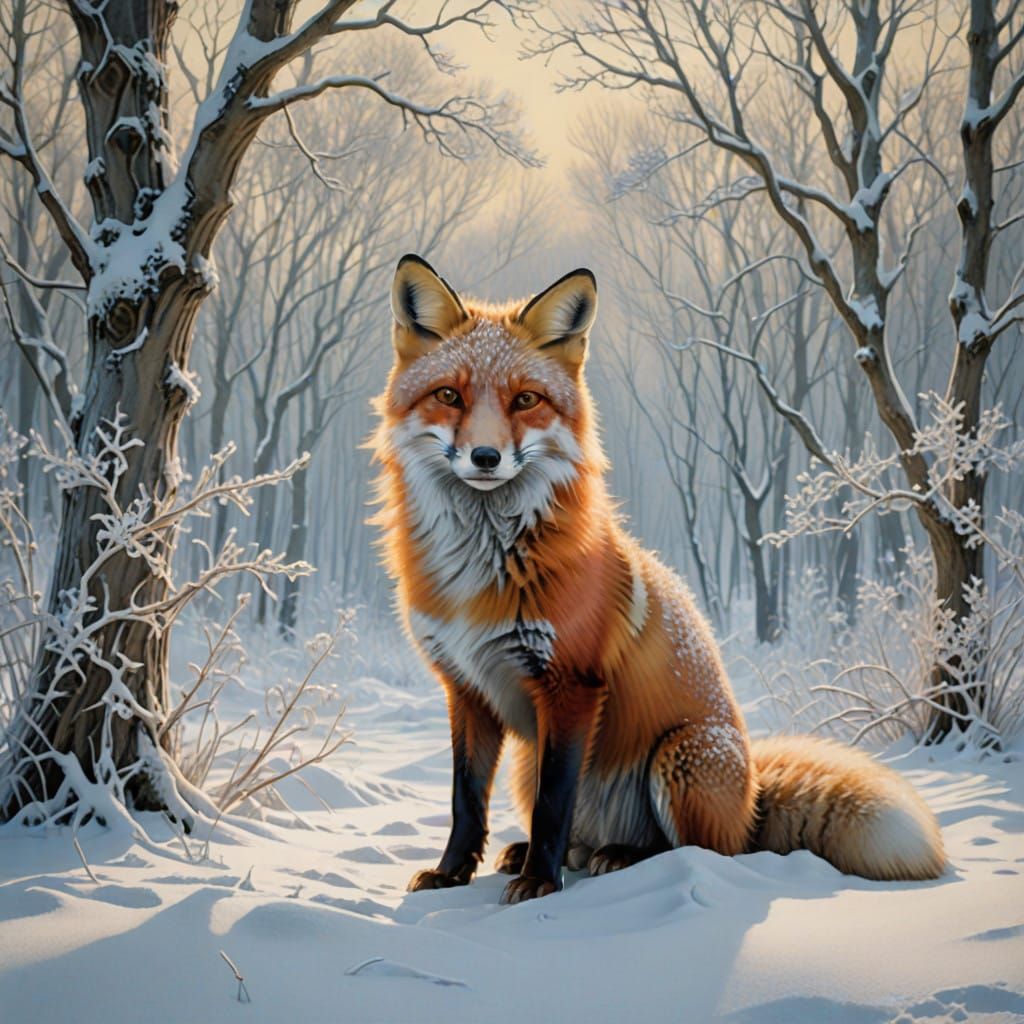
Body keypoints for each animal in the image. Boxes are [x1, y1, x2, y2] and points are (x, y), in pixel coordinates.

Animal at [371, 253, 946, 904]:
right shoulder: (465, 688)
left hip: (681, 755)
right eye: (449, 395)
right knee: (588, 836)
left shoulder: (573, 685)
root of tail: (752, 804)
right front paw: (451, 873)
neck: (482, 571)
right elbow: (466, 800)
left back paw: (619, 857)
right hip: (532, 759)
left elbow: (553, 803)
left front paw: (540, 882)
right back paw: (558, 853)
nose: (486, 458)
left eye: (525, 400)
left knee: (697, 851)